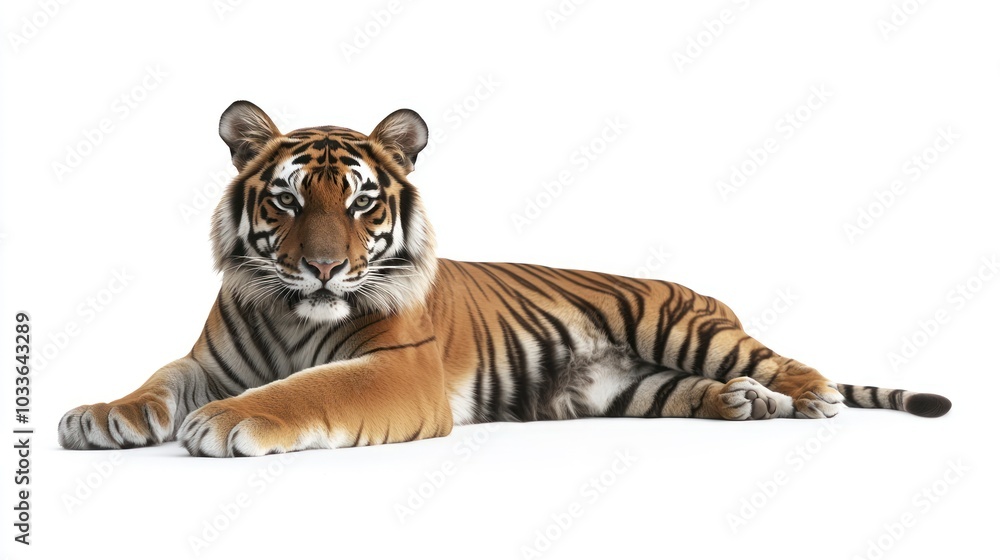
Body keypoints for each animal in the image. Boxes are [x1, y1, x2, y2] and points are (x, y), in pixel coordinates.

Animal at [58, 101, 952, 458]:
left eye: (360, 201)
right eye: (287, 200)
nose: (322, 266)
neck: (290, 313)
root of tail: (703, 293)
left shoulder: (398, 369)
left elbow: (306, 389)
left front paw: (227, 422)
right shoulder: (205, 360)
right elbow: (158, 380)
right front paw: (98, 416)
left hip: (682, 326)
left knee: (780, 361)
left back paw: (810, 395)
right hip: (623, 388)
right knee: (705, 390)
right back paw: (745, 406)